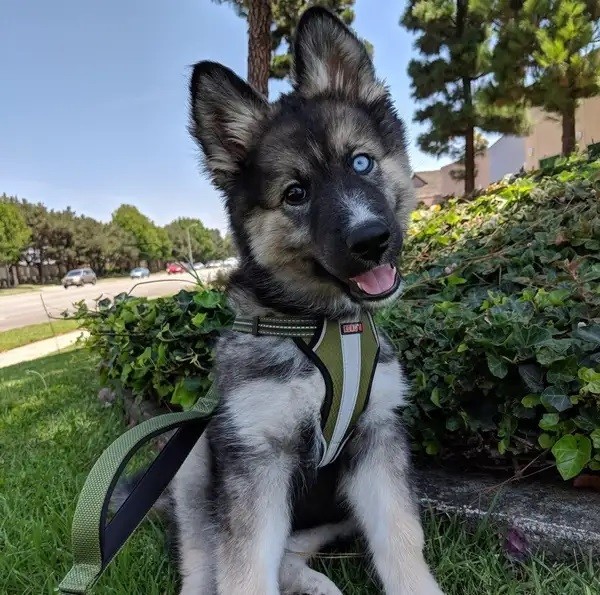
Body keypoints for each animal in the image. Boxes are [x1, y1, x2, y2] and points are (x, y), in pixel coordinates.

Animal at [122, 5, 442, 595]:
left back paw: (316, 583)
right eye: (296, 194)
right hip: (194, 457)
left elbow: (402, 538)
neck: (323, 327)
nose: (371, 240)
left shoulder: (378, 440)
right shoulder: (255, 455)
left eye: (361, 163)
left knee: (291, 550)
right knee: (203, 557)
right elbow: (244, 566)